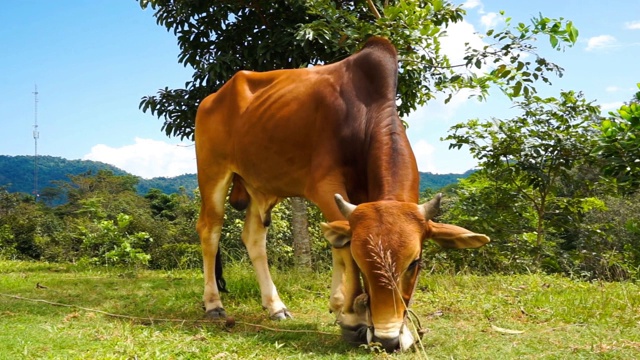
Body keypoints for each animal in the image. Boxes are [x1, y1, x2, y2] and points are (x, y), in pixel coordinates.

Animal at [195, 36, 490, 352]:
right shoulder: (325, 187)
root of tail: (212, 97)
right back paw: (213, 304)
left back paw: (276, 306)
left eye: (414, 263)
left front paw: (347, 310)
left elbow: (339, 247)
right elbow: (344, 249)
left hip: (262, 186)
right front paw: (353, 319)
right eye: (363, 264)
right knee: (210, 231)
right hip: (213, 173)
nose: (388, 339)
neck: (364, 116)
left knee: (253, 238)